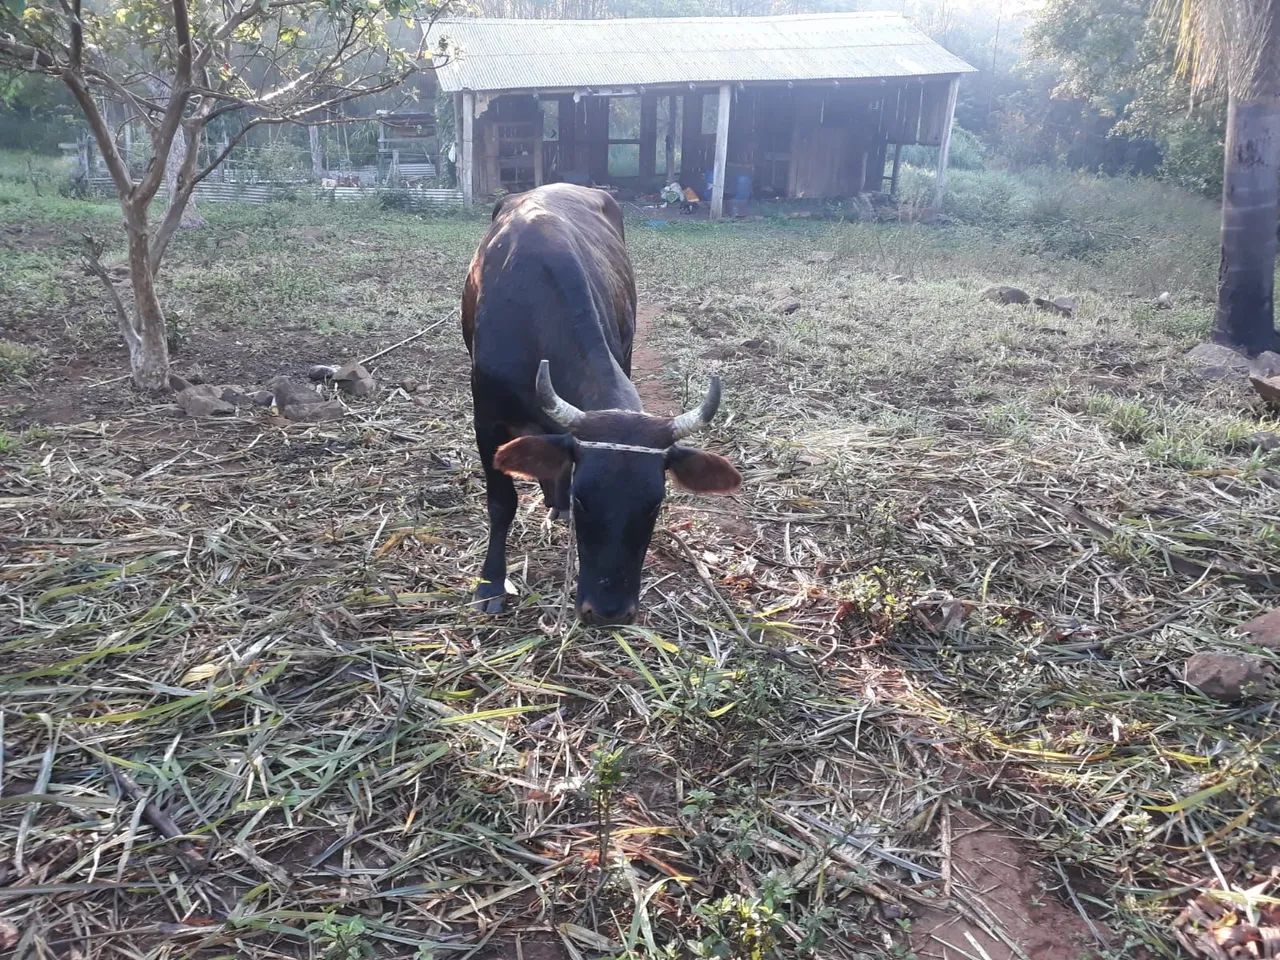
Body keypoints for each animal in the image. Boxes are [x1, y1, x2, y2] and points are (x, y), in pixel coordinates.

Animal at [461, 183, 741, 625]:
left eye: (654, 504)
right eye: (583, 499)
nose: (609, 611)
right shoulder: (486, 421)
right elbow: (501, 504)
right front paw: (490, 583)